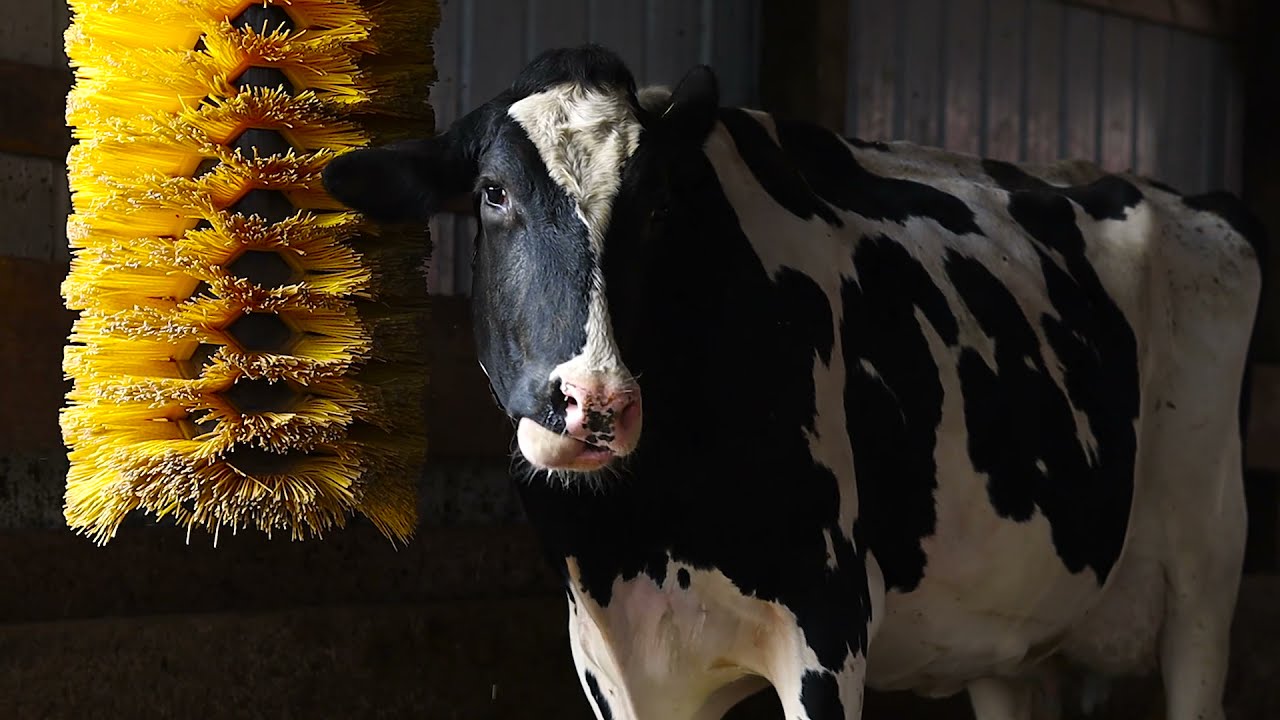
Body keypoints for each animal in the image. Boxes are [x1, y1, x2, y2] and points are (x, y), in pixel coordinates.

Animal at [322, 45, 1265, 720]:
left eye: (659, 207)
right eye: (492, 193)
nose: (595, 403)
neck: (639, 534)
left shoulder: (827, 630)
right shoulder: (617, 667)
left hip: (1207, 577)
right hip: (1010, 627)